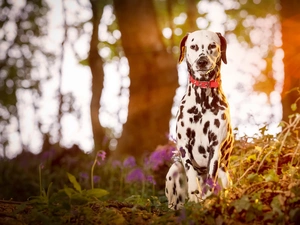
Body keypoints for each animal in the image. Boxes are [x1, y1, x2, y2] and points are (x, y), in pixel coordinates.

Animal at [165, 30, 233, 209]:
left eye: (212, 46)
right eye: (194, 46)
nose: (202, 61)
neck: (203, 100)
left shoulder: (215, 147)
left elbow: (210, 179)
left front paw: (206, 198)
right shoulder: (184, 144)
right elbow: (191, 172)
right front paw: (195, 194)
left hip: (225, 175)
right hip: (174, 169)